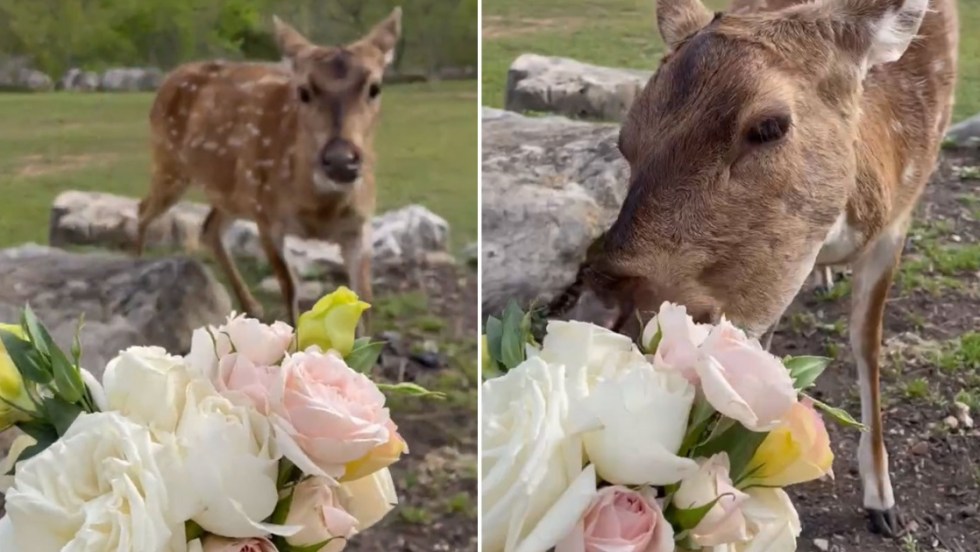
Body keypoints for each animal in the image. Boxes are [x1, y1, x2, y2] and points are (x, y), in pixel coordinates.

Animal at [135, 9, 403, 327]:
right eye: (303, 90)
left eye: (375, 87)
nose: (341, 161)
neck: (320, 209)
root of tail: (167, 80)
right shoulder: (267, 216)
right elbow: (290, 289)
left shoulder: (359, 226)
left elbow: (364, 302)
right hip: (169, 161)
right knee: (143, 208)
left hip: (231, 192)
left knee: (209, 228)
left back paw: (252, 306)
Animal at [575, 0, 958, 538]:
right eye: (626, 142)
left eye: (769, 125)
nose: (601, 312)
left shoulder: (897, 222)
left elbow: (867, 343)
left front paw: (883, 503)